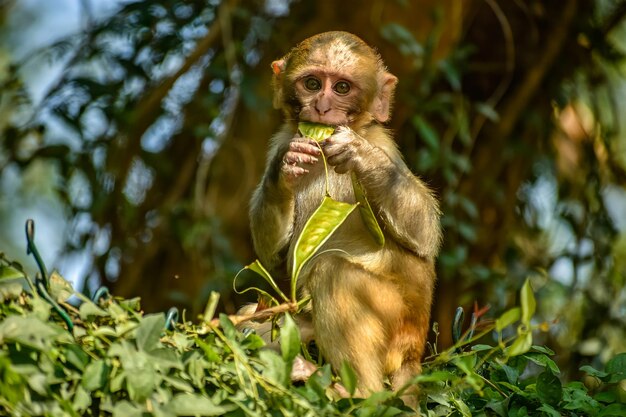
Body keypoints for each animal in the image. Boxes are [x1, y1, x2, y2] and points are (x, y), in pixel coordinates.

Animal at [246, 30, 442, 394]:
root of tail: (414, 351)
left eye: (341, 88)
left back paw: (359, 392)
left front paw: (360, 155)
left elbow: (424, 234)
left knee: (333, 274)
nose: (322, 107)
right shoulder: (283, 138)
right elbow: (270, 252)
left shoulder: (382, 142)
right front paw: (285, 168)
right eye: (312, 83)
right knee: (252, 322)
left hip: (396, 322)